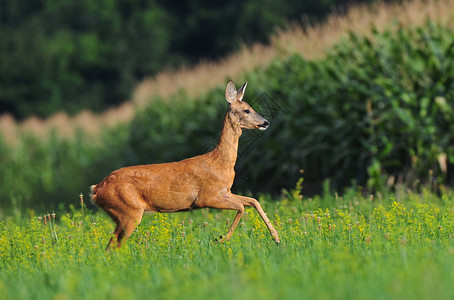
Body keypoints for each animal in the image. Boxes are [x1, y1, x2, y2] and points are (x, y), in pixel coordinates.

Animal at [90, 80, 280, 248]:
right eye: (247, 110)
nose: (266, 122)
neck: (221, 161)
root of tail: (96, 189)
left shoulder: (225, 191)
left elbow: (253, 201)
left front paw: (276, 238)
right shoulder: (206, 197)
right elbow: (241, 206)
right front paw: (220, 239)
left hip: (122, 214)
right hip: (129, 211)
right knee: (114, 247)